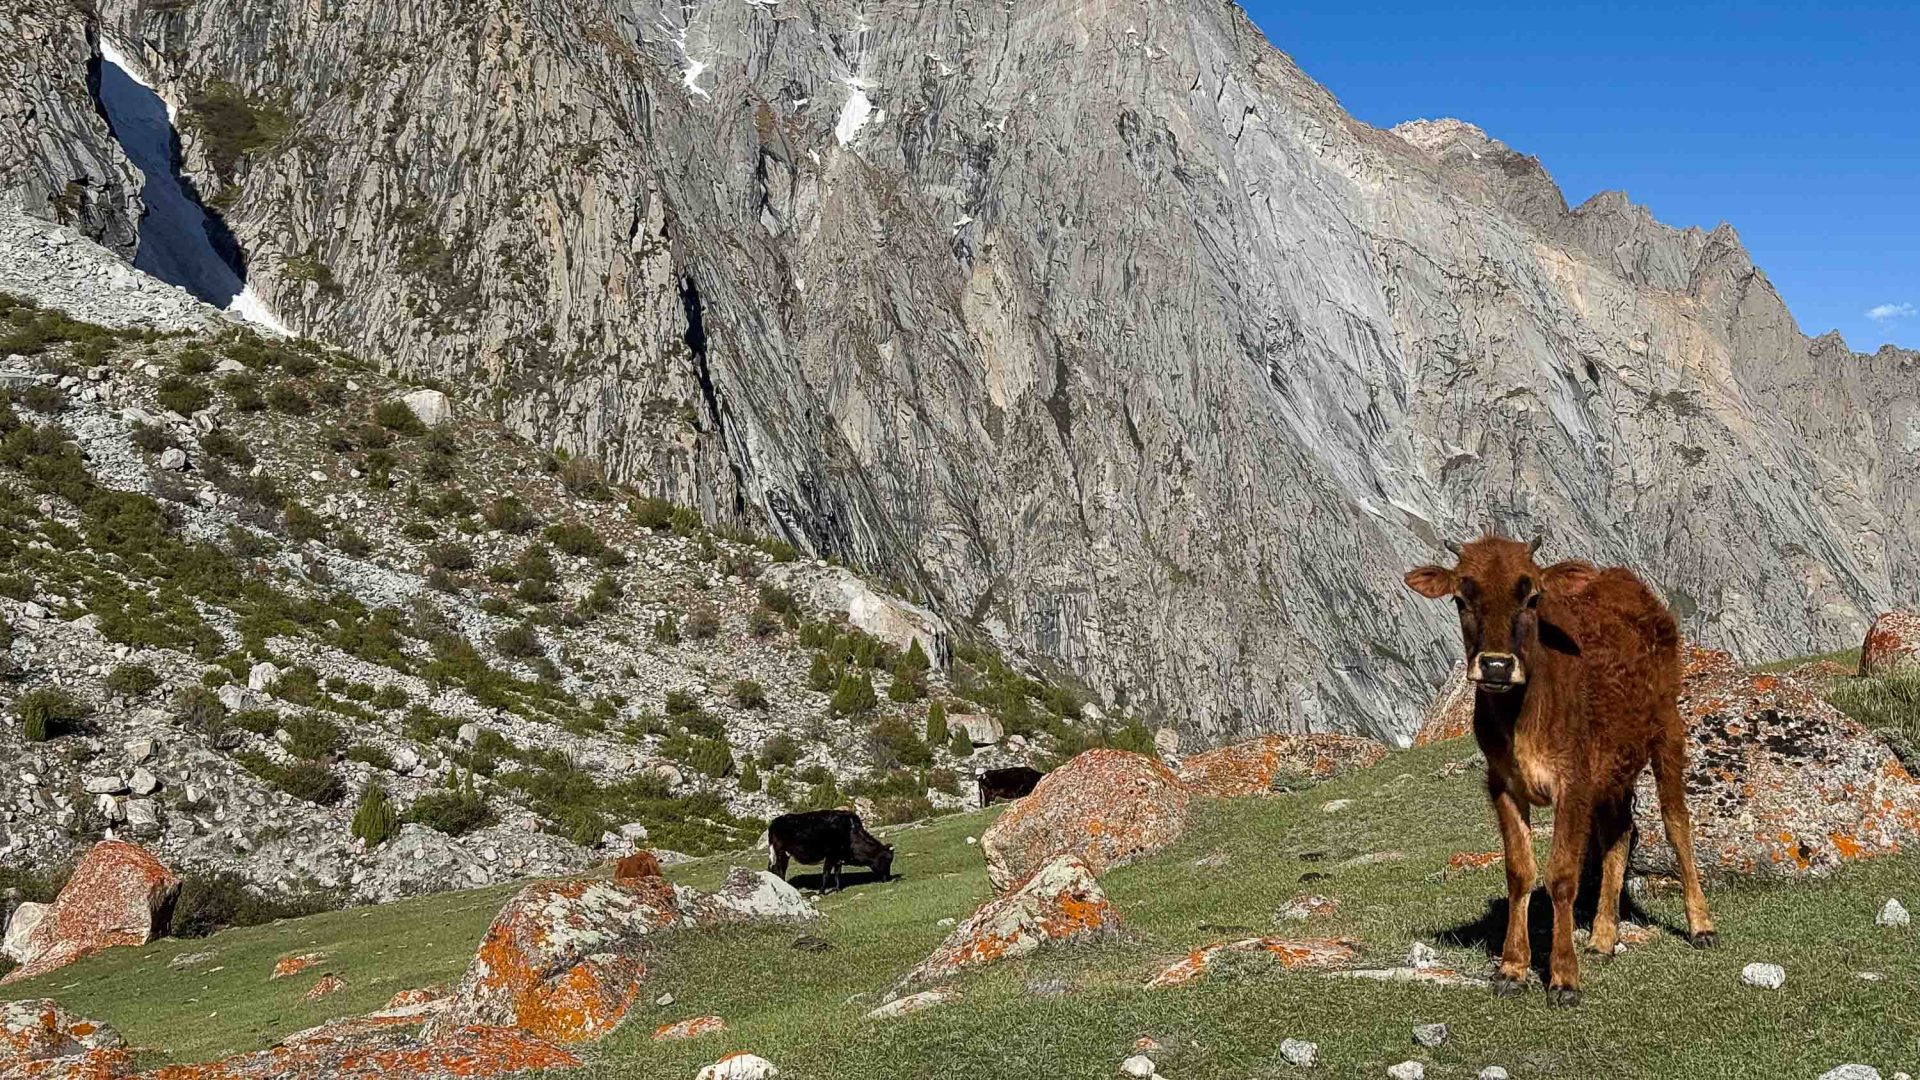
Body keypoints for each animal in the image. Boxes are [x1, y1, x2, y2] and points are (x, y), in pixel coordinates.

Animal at [1413, 530, 1712, 999]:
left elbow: (1562, 875)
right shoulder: (1503, 782)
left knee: (1676, 822)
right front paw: (1512, 968)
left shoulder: (1574, 780)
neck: (1522, 715)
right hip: (1614, 767)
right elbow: (1519, 872)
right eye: (1461, 598)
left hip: (1667, 730)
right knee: (1619, 832)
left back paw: (1701, 925)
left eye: (1532, 596)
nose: (1496, 665)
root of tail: (1625, 580)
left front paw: (1564, 976)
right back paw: (1603, 938)